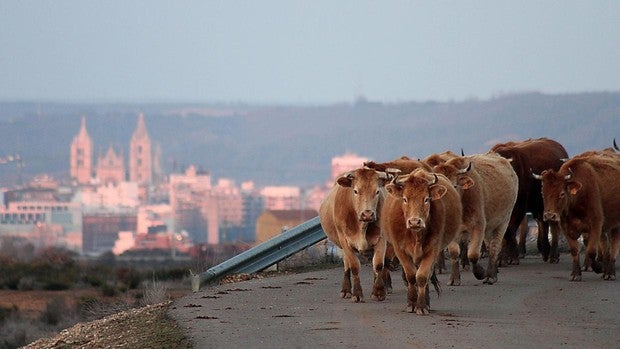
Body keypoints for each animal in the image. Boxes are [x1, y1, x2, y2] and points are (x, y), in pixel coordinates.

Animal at [320, 167, 392, 300]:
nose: (367, 214)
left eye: (377, 191)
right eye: (355, 191)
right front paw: (357, 294)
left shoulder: (381, 239)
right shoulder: (344, 240)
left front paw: (378, 292)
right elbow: (354, 266)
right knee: (346, 265)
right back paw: (346, 290)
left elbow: (378, 264)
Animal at [380, 167, 462, 314]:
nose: (414, 222)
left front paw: (422, 306)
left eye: (426, 199)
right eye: (405, 199)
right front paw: (411, 304)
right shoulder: (400, 251)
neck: (416, 236)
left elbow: (422, 277)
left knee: (427, 276)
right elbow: (411, 276)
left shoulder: (433, 250)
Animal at [434, 152, 520, 282]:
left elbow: (473, 254)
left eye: (454, 186)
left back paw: (490, 276)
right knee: (490, 246)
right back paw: (494, 271)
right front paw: (454, 278)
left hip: (503, 222)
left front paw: (480, 272)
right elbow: (454, 252)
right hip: (489, 227)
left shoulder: (478, 226)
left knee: (495, 247)